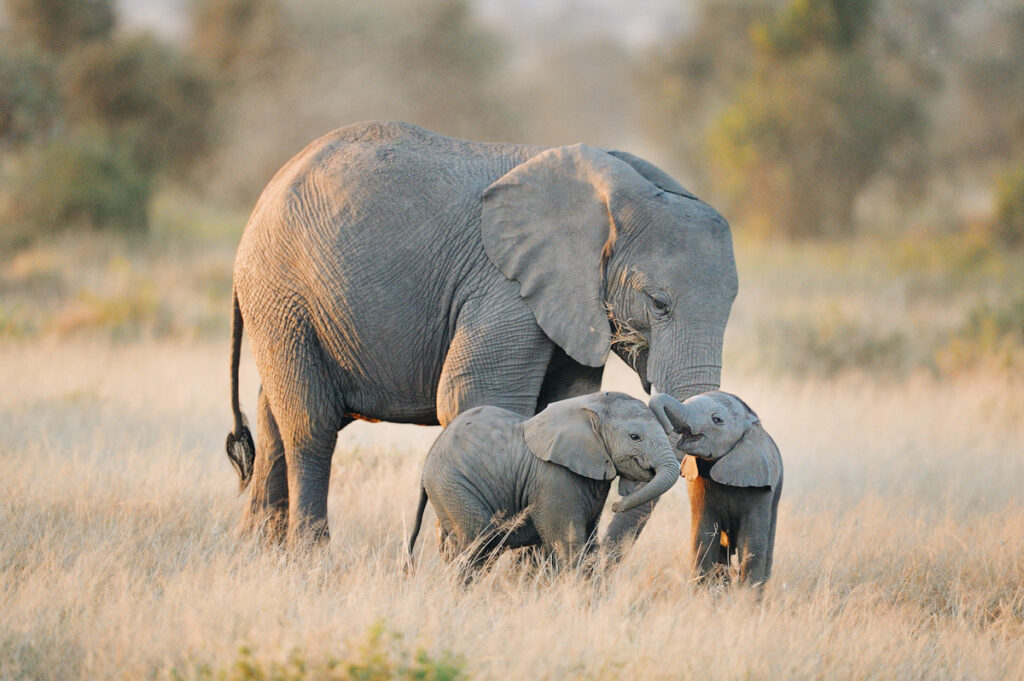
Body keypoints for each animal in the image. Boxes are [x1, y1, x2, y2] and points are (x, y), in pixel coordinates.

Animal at [226, 120, 737, 548]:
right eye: (659, 304)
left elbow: (562, 403)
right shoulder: (504, 286)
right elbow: (476, 397)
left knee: (273, 421)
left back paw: (257, 555)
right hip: (282, 293)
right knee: (310, 426)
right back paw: (310, 560)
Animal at [407, 391, 679, 569]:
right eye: (635, 437)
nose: (616, 505)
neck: (589, 406)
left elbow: (590, 544)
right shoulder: (554, 478)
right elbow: (569, 545)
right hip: (454, 486)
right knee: (479, 545)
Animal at [647, 391, 782, 585]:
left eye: (717, 419)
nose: (667, 429)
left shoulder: (761, 484)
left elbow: (751, 541)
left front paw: (746, 594)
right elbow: (704, 535)